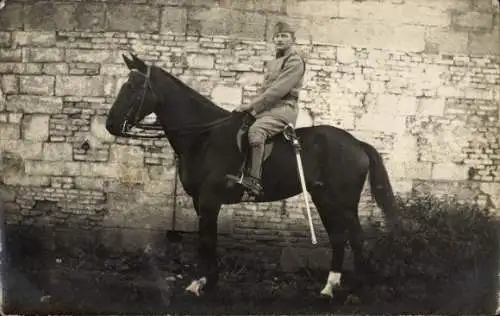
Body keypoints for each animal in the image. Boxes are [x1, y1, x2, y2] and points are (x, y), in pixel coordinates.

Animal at [104, 53, 398, 298]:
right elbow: (209, 240)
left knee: (355, 238)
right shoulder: (201, 201)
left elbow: (205, 240)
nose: (110, 124)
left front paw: (198, 283)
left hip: (344, 203)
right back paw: (329, 287)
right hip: (324, 199)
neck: (204, 136)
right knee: (339, 237)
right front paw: (210, 281)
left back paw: (357, 289)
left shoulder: (209, 200)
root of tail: (357, 144)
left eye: (132, 87)